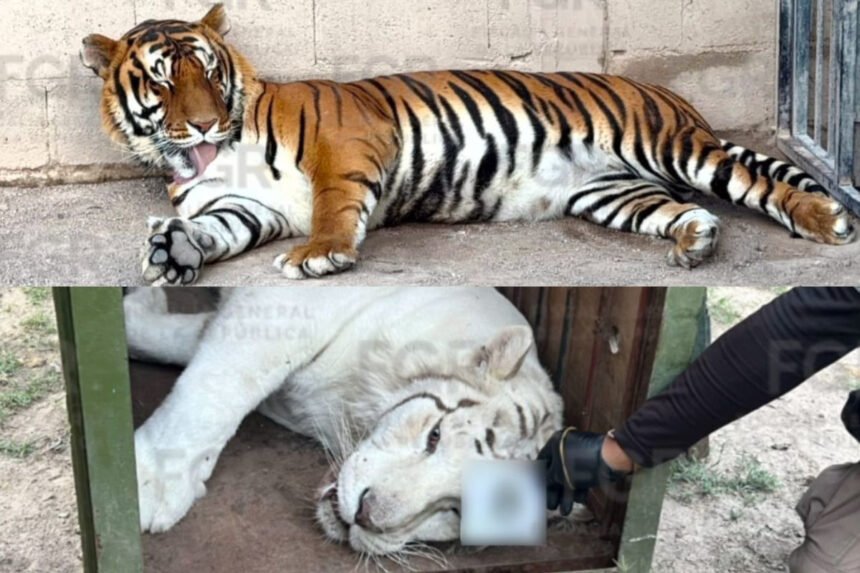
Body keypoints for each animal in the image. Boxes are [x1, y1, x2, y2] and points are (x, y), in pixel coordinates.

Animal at [81, 4, 856, 285]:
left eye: (209, 72)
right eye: (163, 80)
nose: (205, 124)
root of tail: (673, 96)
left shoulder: (347, 143)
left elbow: (334, 204)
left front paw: (321, 253)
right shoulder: (246, 206)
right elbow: (212, 229)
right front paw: (173, 251)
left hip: (673, 148)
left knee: (757, 181)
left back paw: (828, 221)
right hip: (614, 192)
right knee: (688, 210)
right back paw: (696, 242)